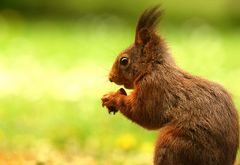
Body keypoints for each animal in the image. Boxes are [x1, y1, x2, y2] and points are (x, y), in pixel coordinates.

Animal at [101, 5, 238, 164]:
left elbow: (144, 114)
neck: (152, 67)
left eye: (124, 60)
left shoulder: (153, 88)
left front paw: (112, 97)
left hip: (173, 143)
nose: (110, 78)